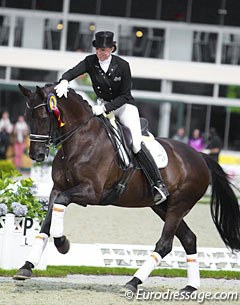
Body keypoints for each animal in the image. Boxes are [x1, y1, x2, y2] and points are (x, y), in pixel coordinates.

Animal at [15, 83, 240, 292]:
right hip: (162, 206)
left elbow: (62, 203)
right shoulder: (57, 188)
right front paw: (26, 267)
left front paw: (62, 244)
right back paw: (190, 287)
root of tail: (200, 157)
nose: (36, 155)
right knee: (189, 239)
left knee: (165, 244)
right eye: (27, 117)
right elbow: (46, 223)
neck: (81, 140)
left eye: (44, 118)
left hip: (179, 205)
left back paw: (133, 282)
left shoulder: (91, 192)